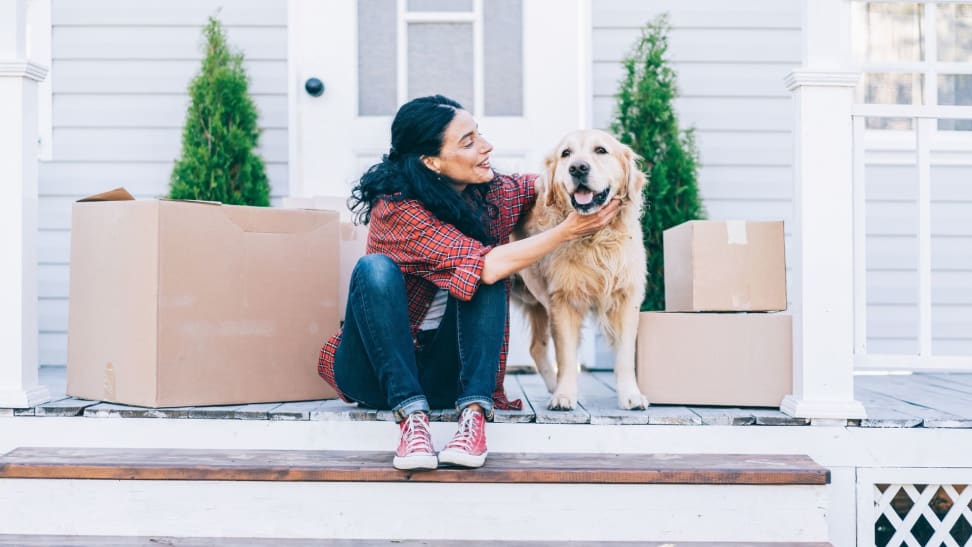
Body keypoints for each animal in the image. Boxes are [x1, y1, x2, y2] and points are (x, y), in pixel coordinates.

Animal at [512, 130, 648, 412]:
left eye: (601, 150)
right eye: (566, 154)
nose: (578, 168)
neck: (596, 240)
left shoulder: (627, 298)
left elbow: (625, 354)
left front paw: (631, 395)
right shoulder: (562, 301)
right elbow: (566, 356)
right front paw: (564, 395)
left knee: (536, 347)